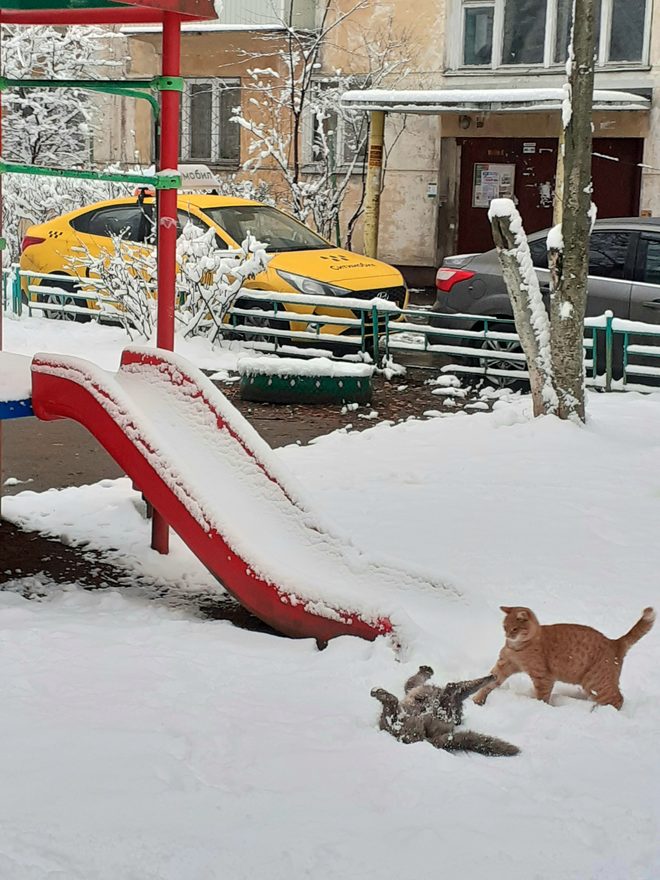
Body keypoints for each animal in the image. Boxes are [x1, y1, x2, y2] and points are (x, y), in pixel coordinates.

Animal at [474, 604, 656, 708]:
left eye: (515, 629)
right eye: (504, 627)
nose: (508, 636)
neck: (517, 647)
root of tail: (614, 642)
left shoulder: (543, 678)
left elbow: (542, 697)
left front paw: (540, 709)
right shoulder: (503, 665)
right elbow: (487, 684)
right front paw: (477, 700)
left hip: (596, 683)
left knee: (618, 699)